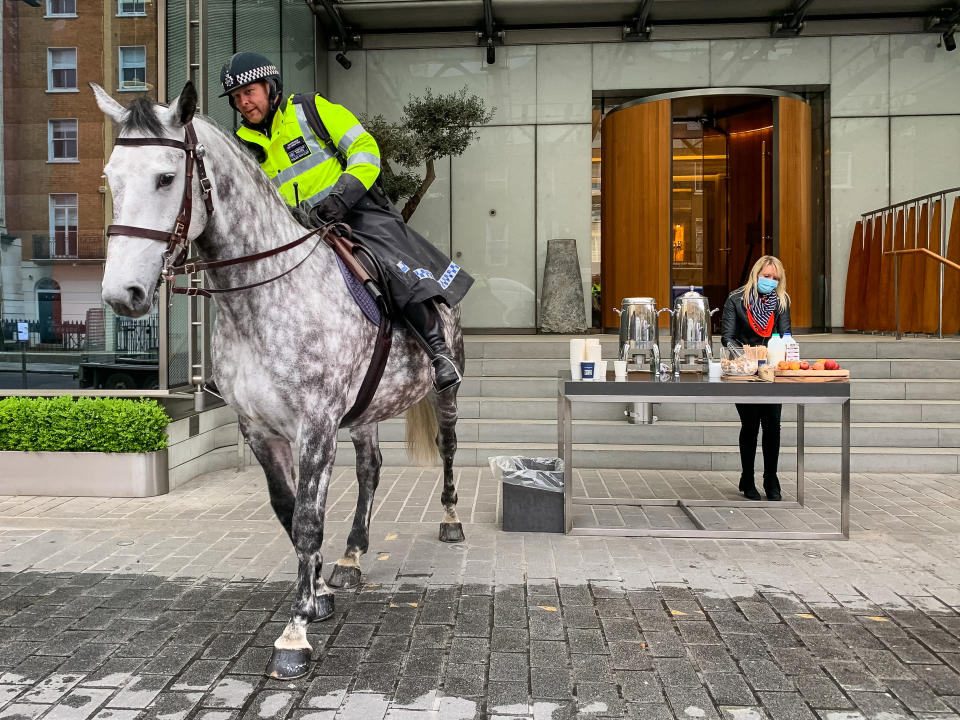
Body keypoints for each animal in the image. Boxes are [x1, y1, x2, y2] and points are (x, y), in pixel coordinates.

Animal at [94, 84, 464, 680]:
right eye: (111, 177)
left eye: (167, 178)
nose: (121, 294)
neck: (263, 297)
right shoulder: (259, 430)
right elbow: (288, 513)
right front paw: (318, 595)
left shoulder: (314, 427)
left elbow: (309, 521)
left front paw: (295, 634)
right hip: (364, 411)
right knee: (370, 469)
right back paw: (352, 555)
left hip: (446, 386)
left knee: (449, 445)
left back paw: (451, 519)